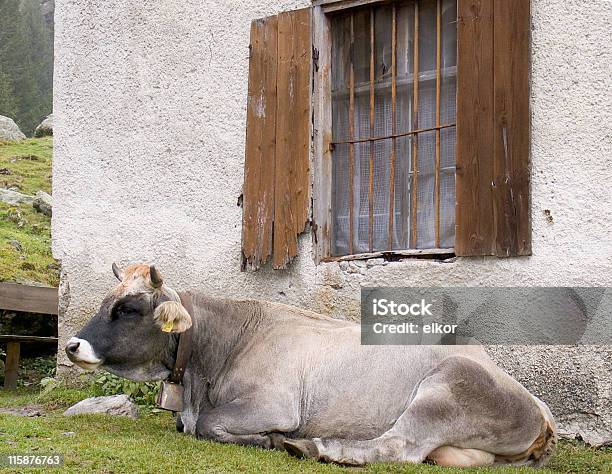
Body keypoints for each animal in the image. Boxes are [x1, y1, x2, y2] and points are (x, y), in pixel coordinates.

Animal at [64, 264, 556, 468]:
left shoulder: (273, 405)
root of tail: (539, 408)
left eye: (128, 308)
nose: (71, 345)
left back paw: (318, 448)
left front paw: (270, 441)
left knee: (399, 447)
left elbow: (208, 425)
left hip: (444, 389)